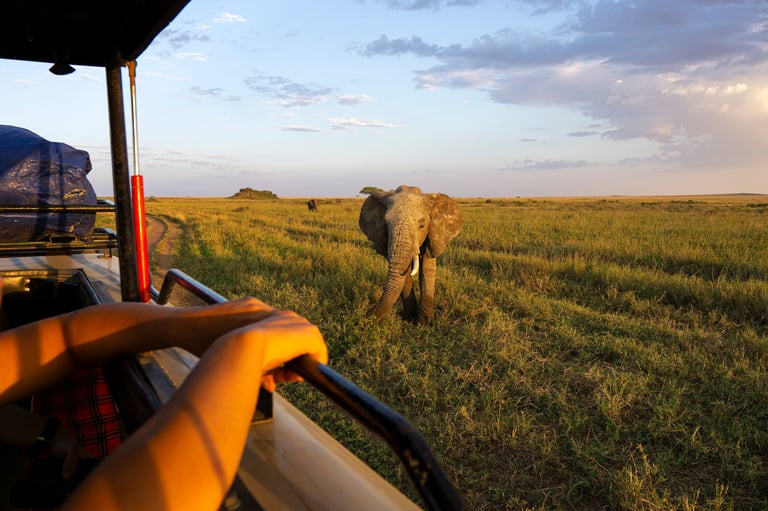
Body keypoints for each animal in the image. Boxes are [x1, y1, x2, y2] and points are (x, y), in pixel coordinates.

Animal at [358, 185, 463, 324]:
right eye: (385, 225)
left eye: (422, 225)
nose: (365, 315)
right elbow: (405, 271)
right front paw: (409, 319)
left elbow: (426, 268)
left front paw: (425, 323)